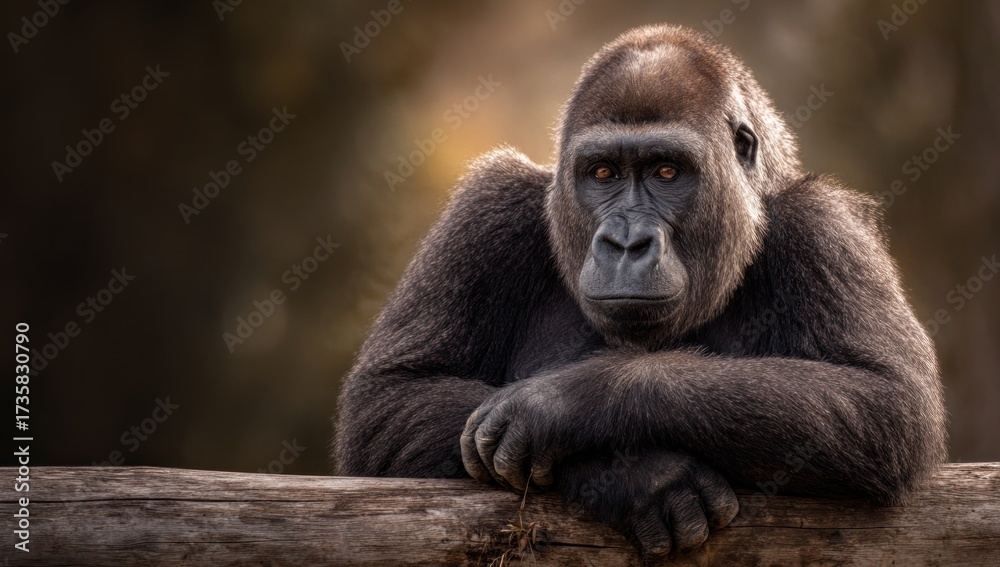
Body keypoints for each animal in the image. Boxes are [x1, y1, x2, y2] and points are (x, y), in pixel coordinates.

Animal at [334, 24, 946, 561]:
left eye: (667, 171)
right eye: (602, 173)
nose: (626, 242)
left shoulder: (823, 227)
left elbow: (888, 403)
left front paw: (568, 403)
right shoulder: (488, 210)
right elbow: (390, 397)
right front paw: (642, 479)